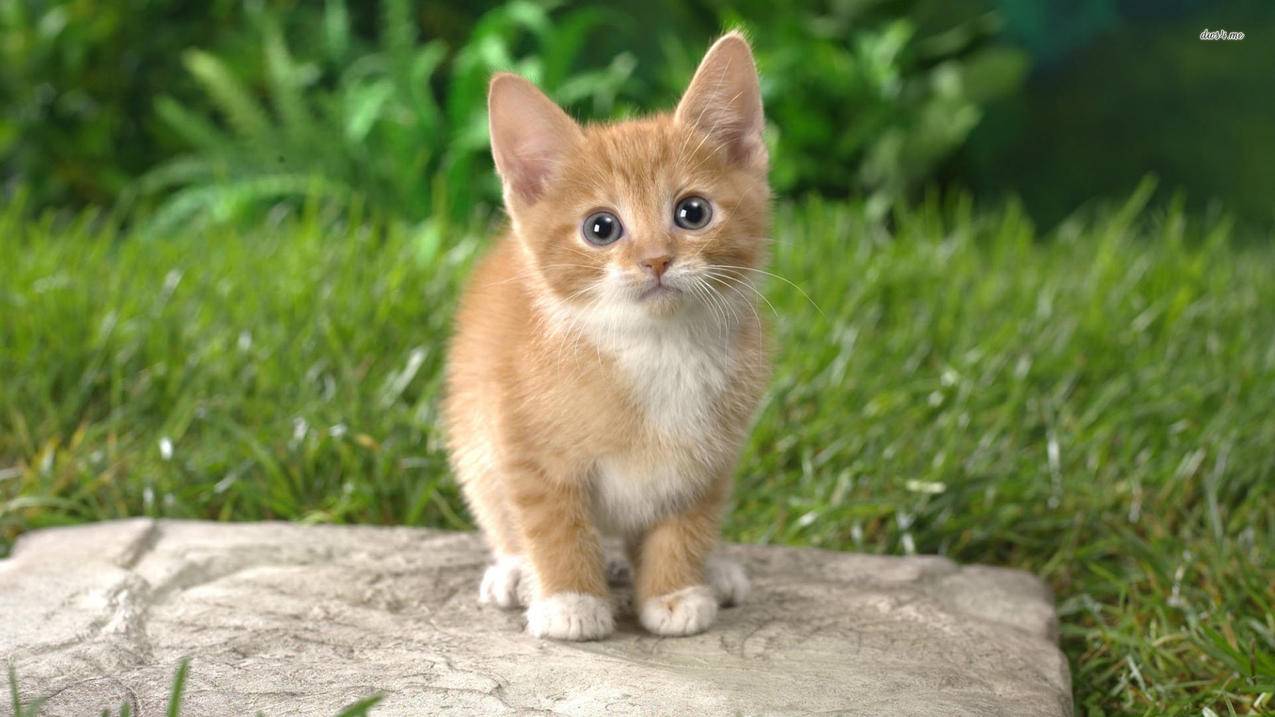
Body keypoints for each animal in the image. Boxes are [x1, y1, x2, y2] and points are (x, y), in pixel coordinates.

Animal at [443, 32, 770, 635]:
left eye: (692, 212)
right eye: (602, 227)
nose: (657, 260)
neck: (656, 348)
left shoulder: (708, 457)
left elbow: (685, 523)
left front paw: (674, 591)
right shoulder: (524, 445)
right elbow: (553, 523)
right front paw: (569, 599)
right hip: (472, 435)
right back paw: (516, 571)